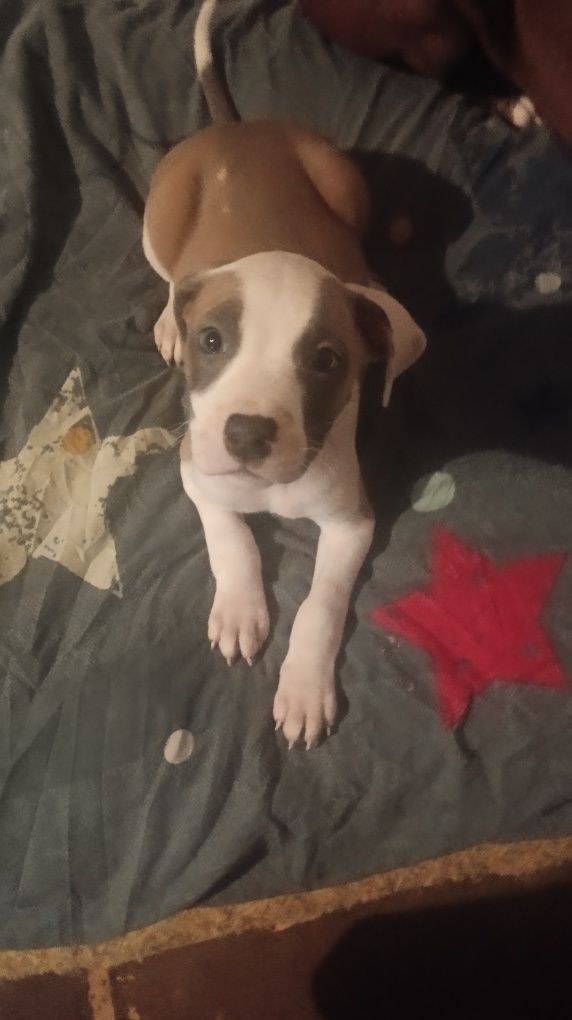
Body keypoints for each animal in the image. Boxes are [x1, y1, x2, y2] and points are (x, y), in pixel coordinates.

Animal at [142, 0, 427, 749]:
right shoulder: (194, 466)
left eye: (326, 361)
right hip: (157, 222)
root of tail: (233, 130)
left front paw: (302, 689)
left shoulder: (352, 523)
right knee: (169, 278)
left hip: (342, 181)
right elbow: (229, 535)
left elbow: (321, 604)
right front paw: (241, 608)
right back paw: (164, 318)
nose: (246, 435)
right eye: (213, 341)